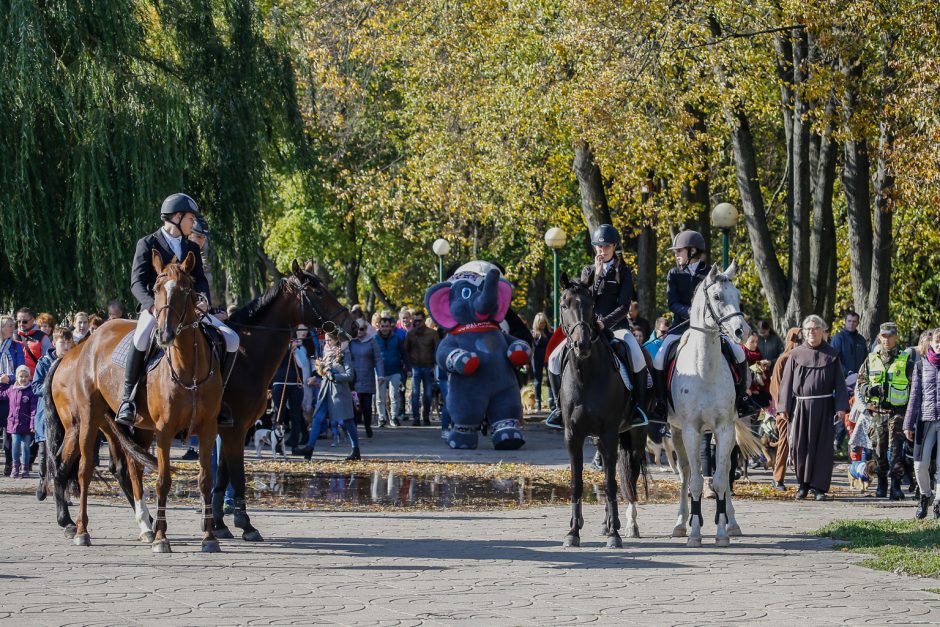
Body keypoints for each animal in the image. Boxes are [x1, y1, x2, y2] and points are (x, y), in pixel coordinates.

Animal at [49, 251, 224, 556]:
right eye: (156, 289)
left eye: (186, 289)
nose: (165, 335)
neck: (188, 370)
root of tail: (82, 347)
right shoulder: (164, 431)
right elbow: (163, 480)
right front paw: (162, 538)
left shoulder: (207, 429)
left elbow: (205, 480)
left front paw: (209, 537)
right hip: (86, 421)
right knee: (81, 470)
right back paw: (80, 529)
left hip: (133, 428)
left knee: (130, 468)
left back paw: (145, 525)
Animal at [560, 278, 648, 548]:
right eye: (564, 305)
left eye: (591, 305)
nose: (582, 344)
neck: (586, 375)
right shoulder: (573, 436)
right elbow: (577, 483)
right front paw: (572, 533)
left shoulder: (610, 433)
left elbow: (611, 483)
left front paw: (614, 535)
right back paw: (608, 522)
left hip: (635, 436)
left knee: (629, 477)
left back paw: (627, 525)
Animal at [668, 262, 764, 548]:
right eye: (718, 297)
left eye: (738, 296)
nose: (742, 331)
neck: (704, 369)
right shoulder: (690, 430)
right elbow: (696, 482)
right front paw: (694, 533)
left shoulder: (724, 428)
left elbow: (721, 480)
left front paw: (722, 532)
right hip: (677, 432)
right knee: (685, 474)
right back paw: (682, 523)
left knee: (726, 470)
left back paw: (731, 523)